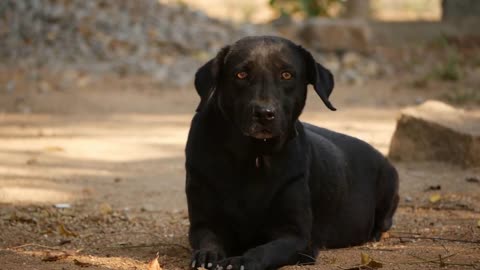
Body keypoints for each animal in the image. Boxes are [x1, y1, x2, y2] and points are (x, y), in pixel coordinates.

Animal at [184, 36, 398, 270]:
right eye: (241, 74)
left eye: (286, 75)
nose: (264, 114)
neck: (254, 156)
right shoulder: (203, 223)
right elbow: (209, 241)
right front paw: (207, 256)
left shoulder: (297, 237)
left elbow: (262, 251)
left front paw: (239, 261)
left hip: (390, 181)